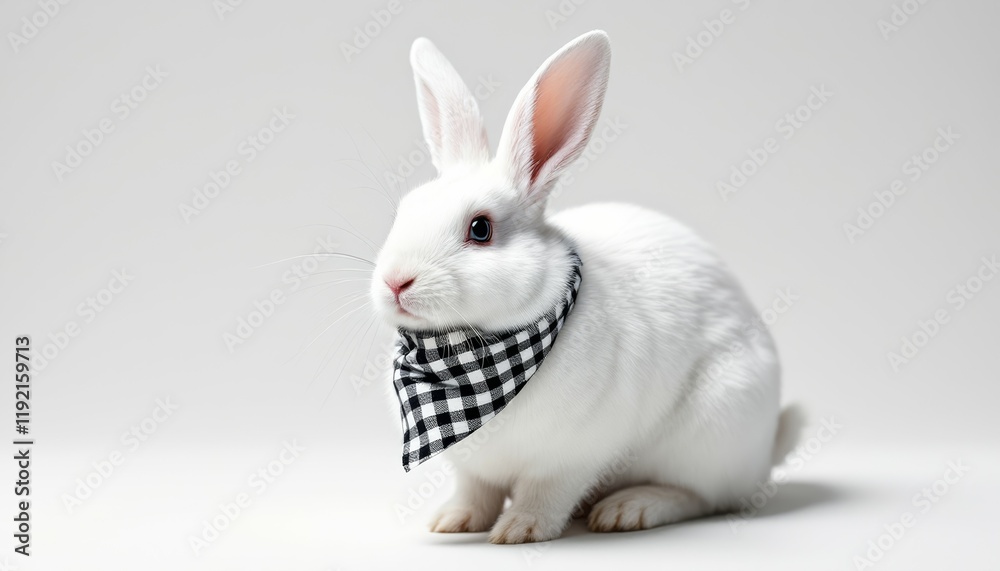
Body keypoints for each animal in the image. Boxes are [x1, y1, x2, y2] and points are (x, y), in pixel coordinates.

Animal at [369, 30, 804, 544]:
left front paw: (520, 530)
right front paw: (452, 521)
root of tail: (764, 451)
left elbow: (546, 493)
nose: (395, 281)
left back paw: (628, 509)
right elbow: (475, 492)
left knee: (700, 497)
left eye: (480, 229)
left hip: (712, 429)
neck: (471, 368)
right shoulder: (474, 469)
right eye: (402, 213)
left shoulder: (572, 458)